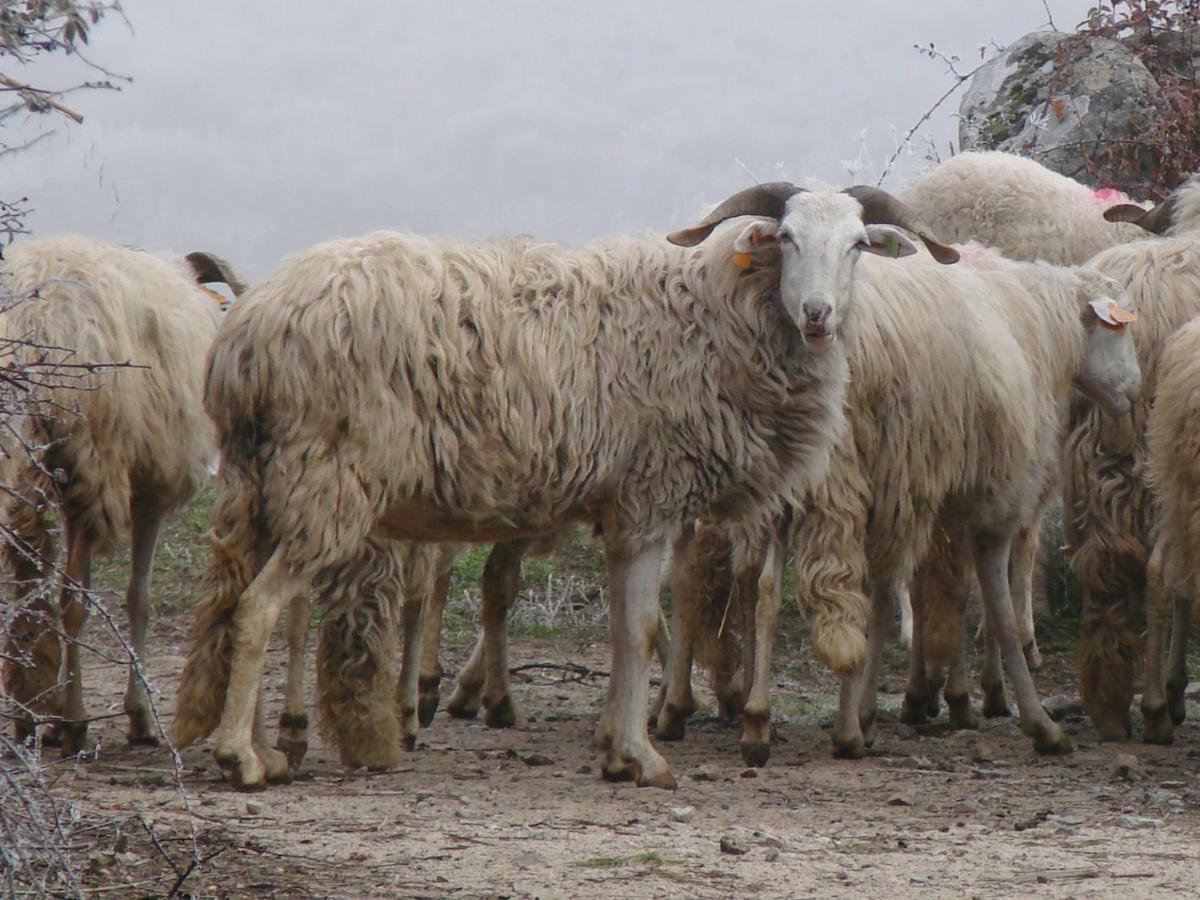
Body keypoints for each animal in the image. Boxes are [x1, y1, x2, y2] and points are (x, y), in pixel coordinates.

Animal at [0, 234, 243, 753]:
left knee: (30, 583)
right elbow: (139, 597)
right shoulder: (150, 489)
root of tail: (34, 316)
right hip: (92, 461)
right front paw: (139, 714)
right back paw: (72, 719)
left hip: (27, 462)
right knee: (73, 601)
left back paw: (30, 714)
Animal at [171, 188, 955, 787]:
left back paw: (260, 745)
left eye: (857, 245)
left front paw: (614, 749)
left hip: (261, 482)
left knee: (230, 602)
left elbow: (624, 632)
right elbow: (642, 630)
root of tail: (247, 332)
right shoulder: (650, 498)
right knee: (260, 608)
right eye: (786, 238)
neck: (713, 318)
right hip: (327, 479)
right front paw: (643, 758)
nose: (820, 315)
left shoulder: (625, 509)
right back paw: (242, 757)